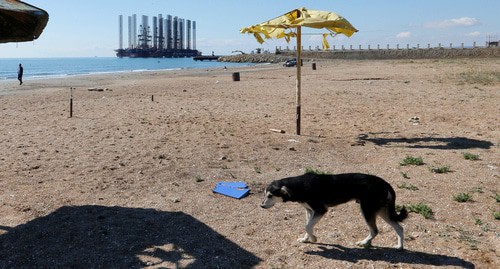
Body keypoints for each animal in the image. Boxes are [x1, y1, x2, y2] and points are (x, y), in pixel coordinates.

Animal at [260, 173, 408, 248]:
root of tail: (385, 183)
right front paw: (306, 239)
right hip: (381, 211)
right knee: (399, 228)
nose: (261, 206)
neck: (299, 185)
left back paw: (364, 242)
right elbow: (307, 226)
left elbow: (307, 226)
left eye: (270, 196)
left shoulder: (320, 210)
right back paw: (399, 246)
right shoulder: (309, 211)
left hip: (367, 210)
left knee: (375, 230)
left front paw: (313, 238)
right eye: (264, 194)